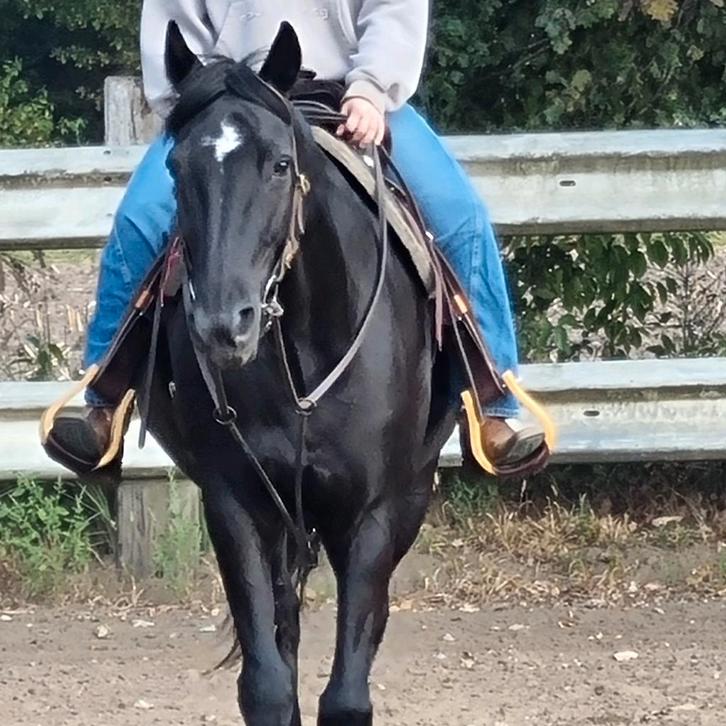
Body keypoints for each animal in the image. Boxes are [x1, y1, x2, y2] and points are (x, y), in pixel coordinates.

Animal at [145, 22, 457, 726]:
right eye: (176, 168)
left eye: (280, 164)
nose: (223, 324)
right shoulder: (234, 503)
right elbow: (267, 685)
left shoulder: (375, 514)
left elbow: (346, 694)